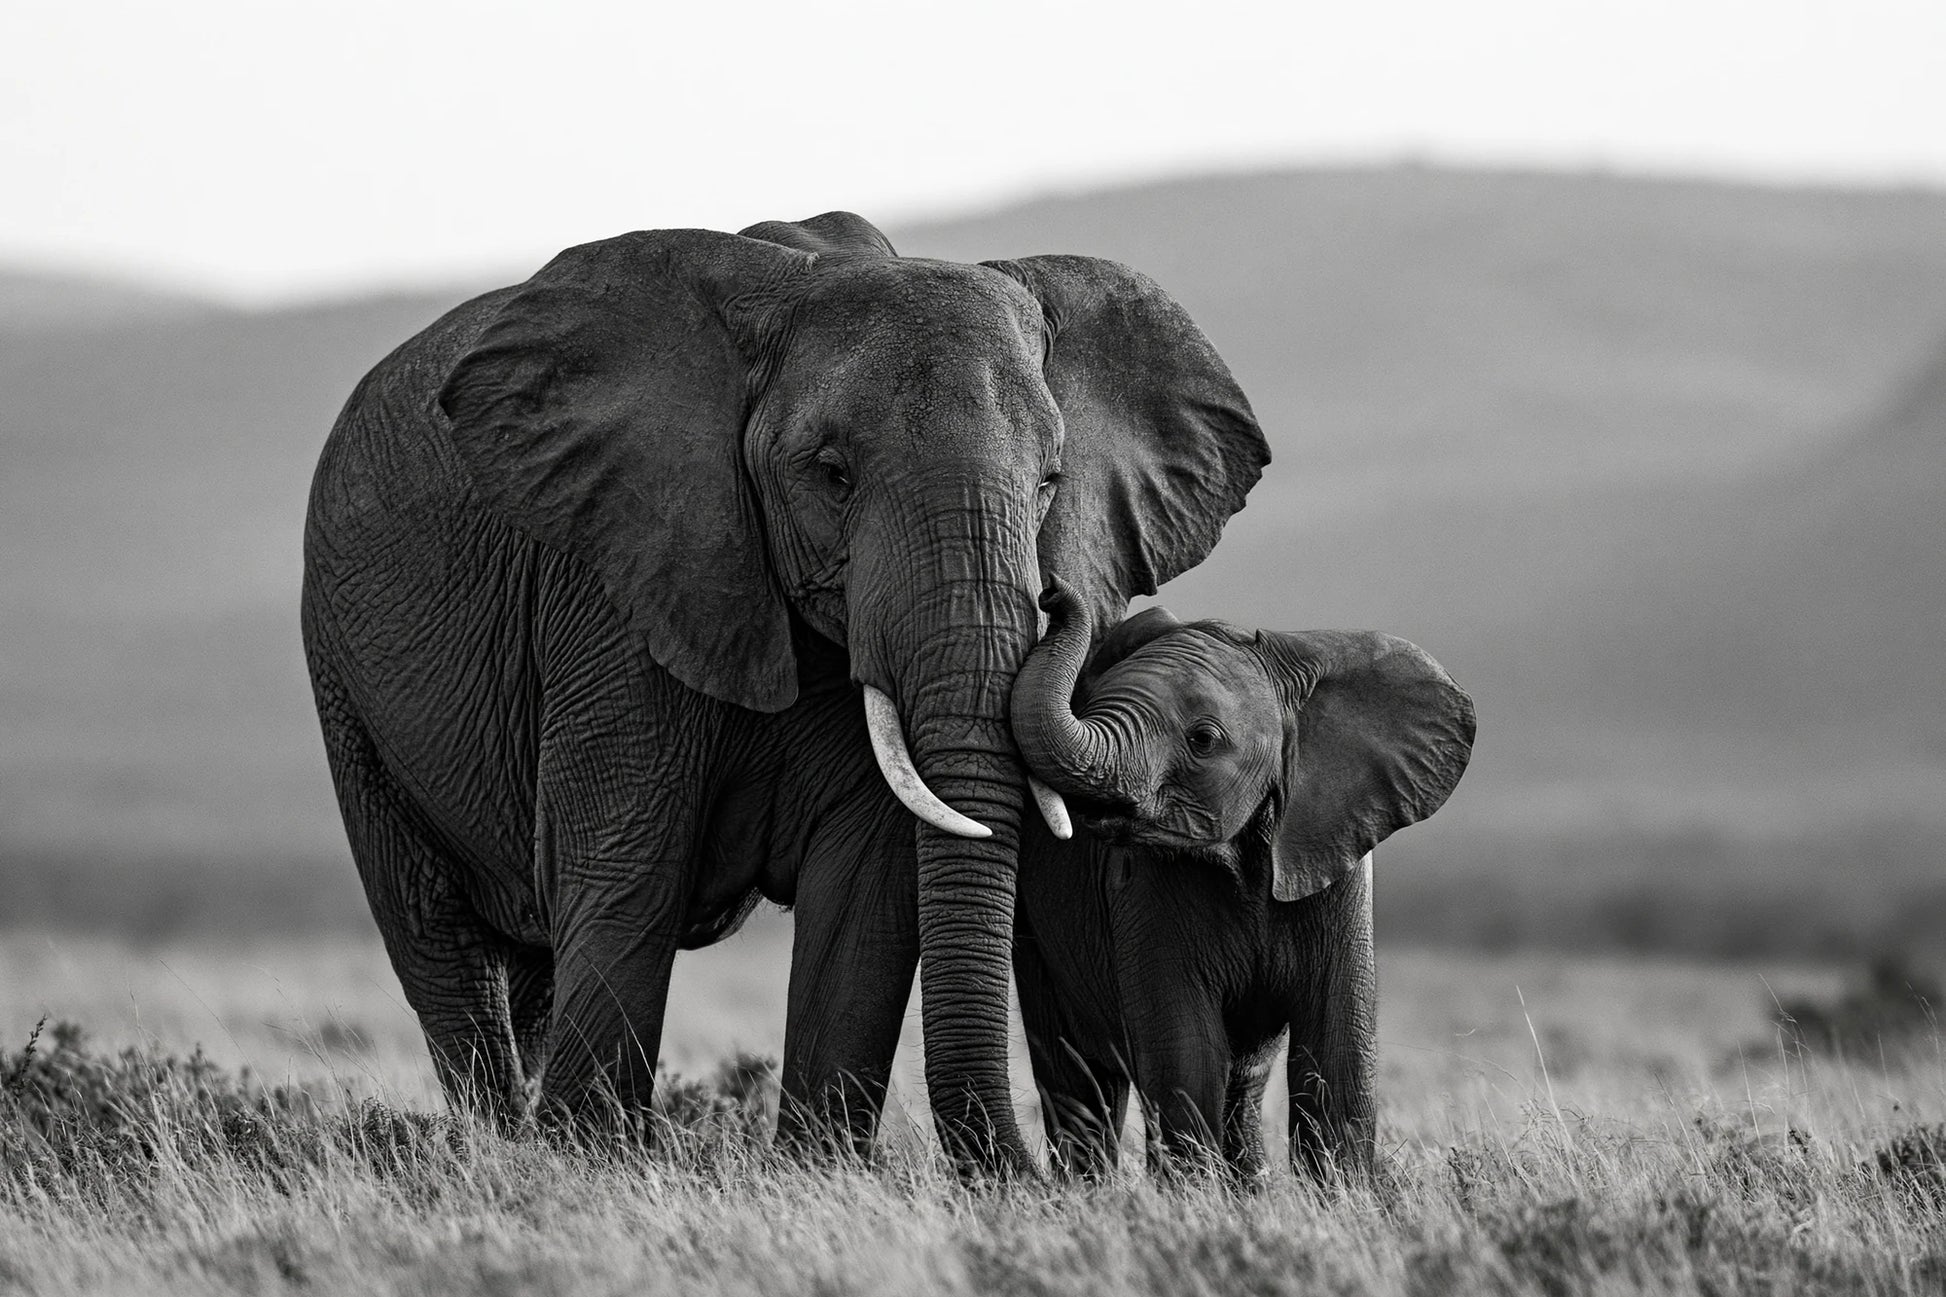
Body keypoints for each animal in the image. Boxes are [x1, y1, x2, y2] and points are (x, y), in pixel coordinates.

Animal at [299, 211, 1269, 1174]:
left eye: (1050, 484)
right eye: (832, 473)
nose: (1059, 597)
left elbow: (863, 895)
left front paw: (815, 1169)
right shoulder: (614, 580)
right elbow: (626, 867)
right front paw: (588, 1163)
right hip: (345, 684)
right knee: (441, 945)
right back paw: (490, 1147)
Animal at [1006, 582, 1475, 1179]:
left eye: (1203, 740)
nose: (1052, 593)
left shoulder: (1336, 861)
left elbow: (1338, 1047)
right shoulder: (1145, 889)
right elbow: (1186, 1050)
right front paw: (1194, 1193)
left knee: (1241, 1082)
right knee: (1080, 1077)